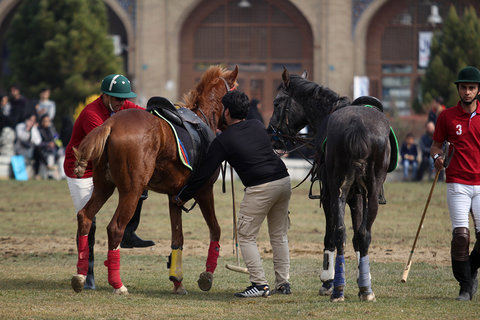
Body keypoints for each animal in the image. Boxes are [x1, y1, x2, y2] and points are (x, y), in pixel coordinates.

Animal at [71, 65, 238, 296]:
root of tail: (111, 124)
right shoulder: (204, 191)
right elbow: (216, 229)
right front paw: (207, 275)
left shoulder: (174, 196)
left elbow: (178, 238)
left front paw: (177, 281)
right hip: (132, 190)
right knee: (115, 228)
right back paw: (118, 284)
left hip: (104, 187)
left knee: (85, 217)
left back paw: (80, 276)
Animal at [268, 68, 392, 302]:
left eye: (277, 103)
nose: (273, 137)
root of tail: (358, 127)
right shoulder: (357, 195)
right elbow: (358, 235)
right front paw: (362, 278)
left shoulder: (327, 194)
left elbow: (330, 234)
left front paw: (327, 280)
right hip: (369, 191)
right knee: (362, 234)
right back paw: (366, 290)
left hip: (336, 191)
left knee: (339, 232)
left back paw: (337, 288)